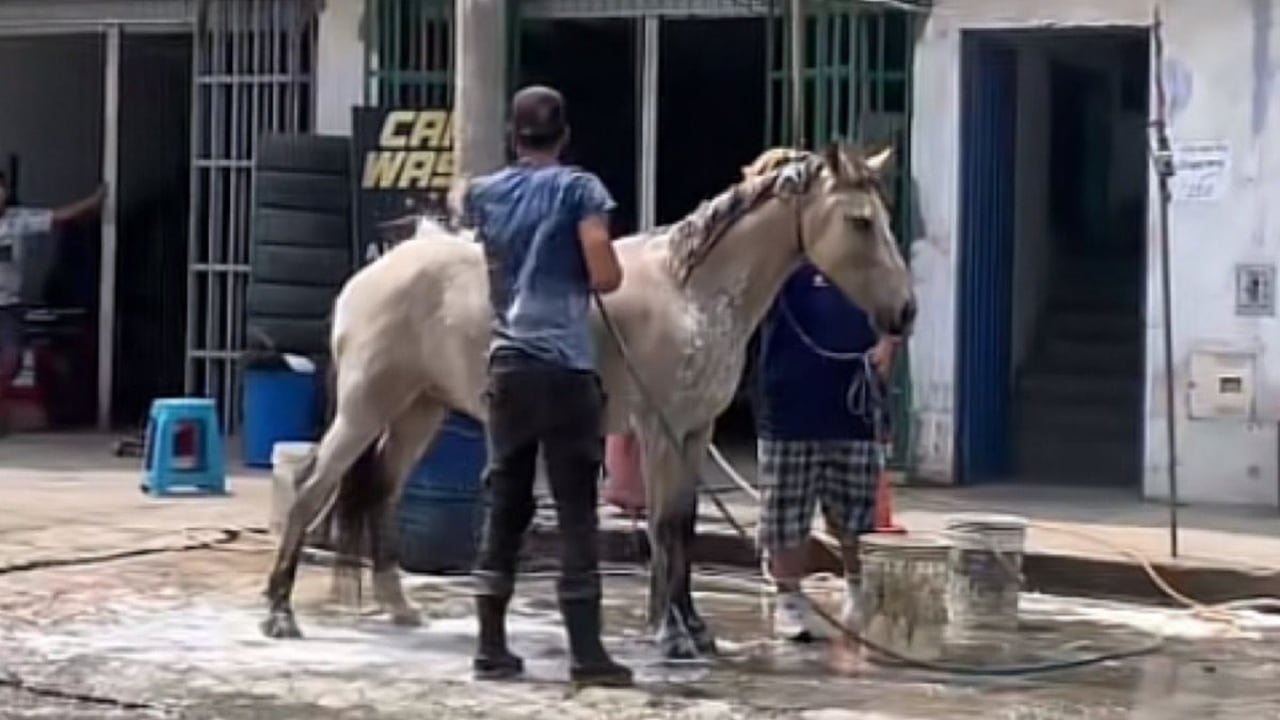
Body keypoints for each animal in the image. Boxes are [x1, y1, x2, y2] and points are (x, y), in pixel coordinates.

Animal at [260, 142, 916, 660]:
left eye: (882, 217)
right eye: (860, 222)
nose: (905, 313)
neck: (692, 294)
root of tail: (372, 274)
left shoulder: (694, 432)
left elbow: (679, 525)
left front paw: (692, 631)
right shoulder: (658, 429)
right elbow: (665, 526)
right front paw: (672, 636)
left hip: (420, 410)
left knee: (383, 493)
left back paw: (398, 609)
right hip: (367, 407)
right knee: (312, 486)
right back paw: (278, 612)